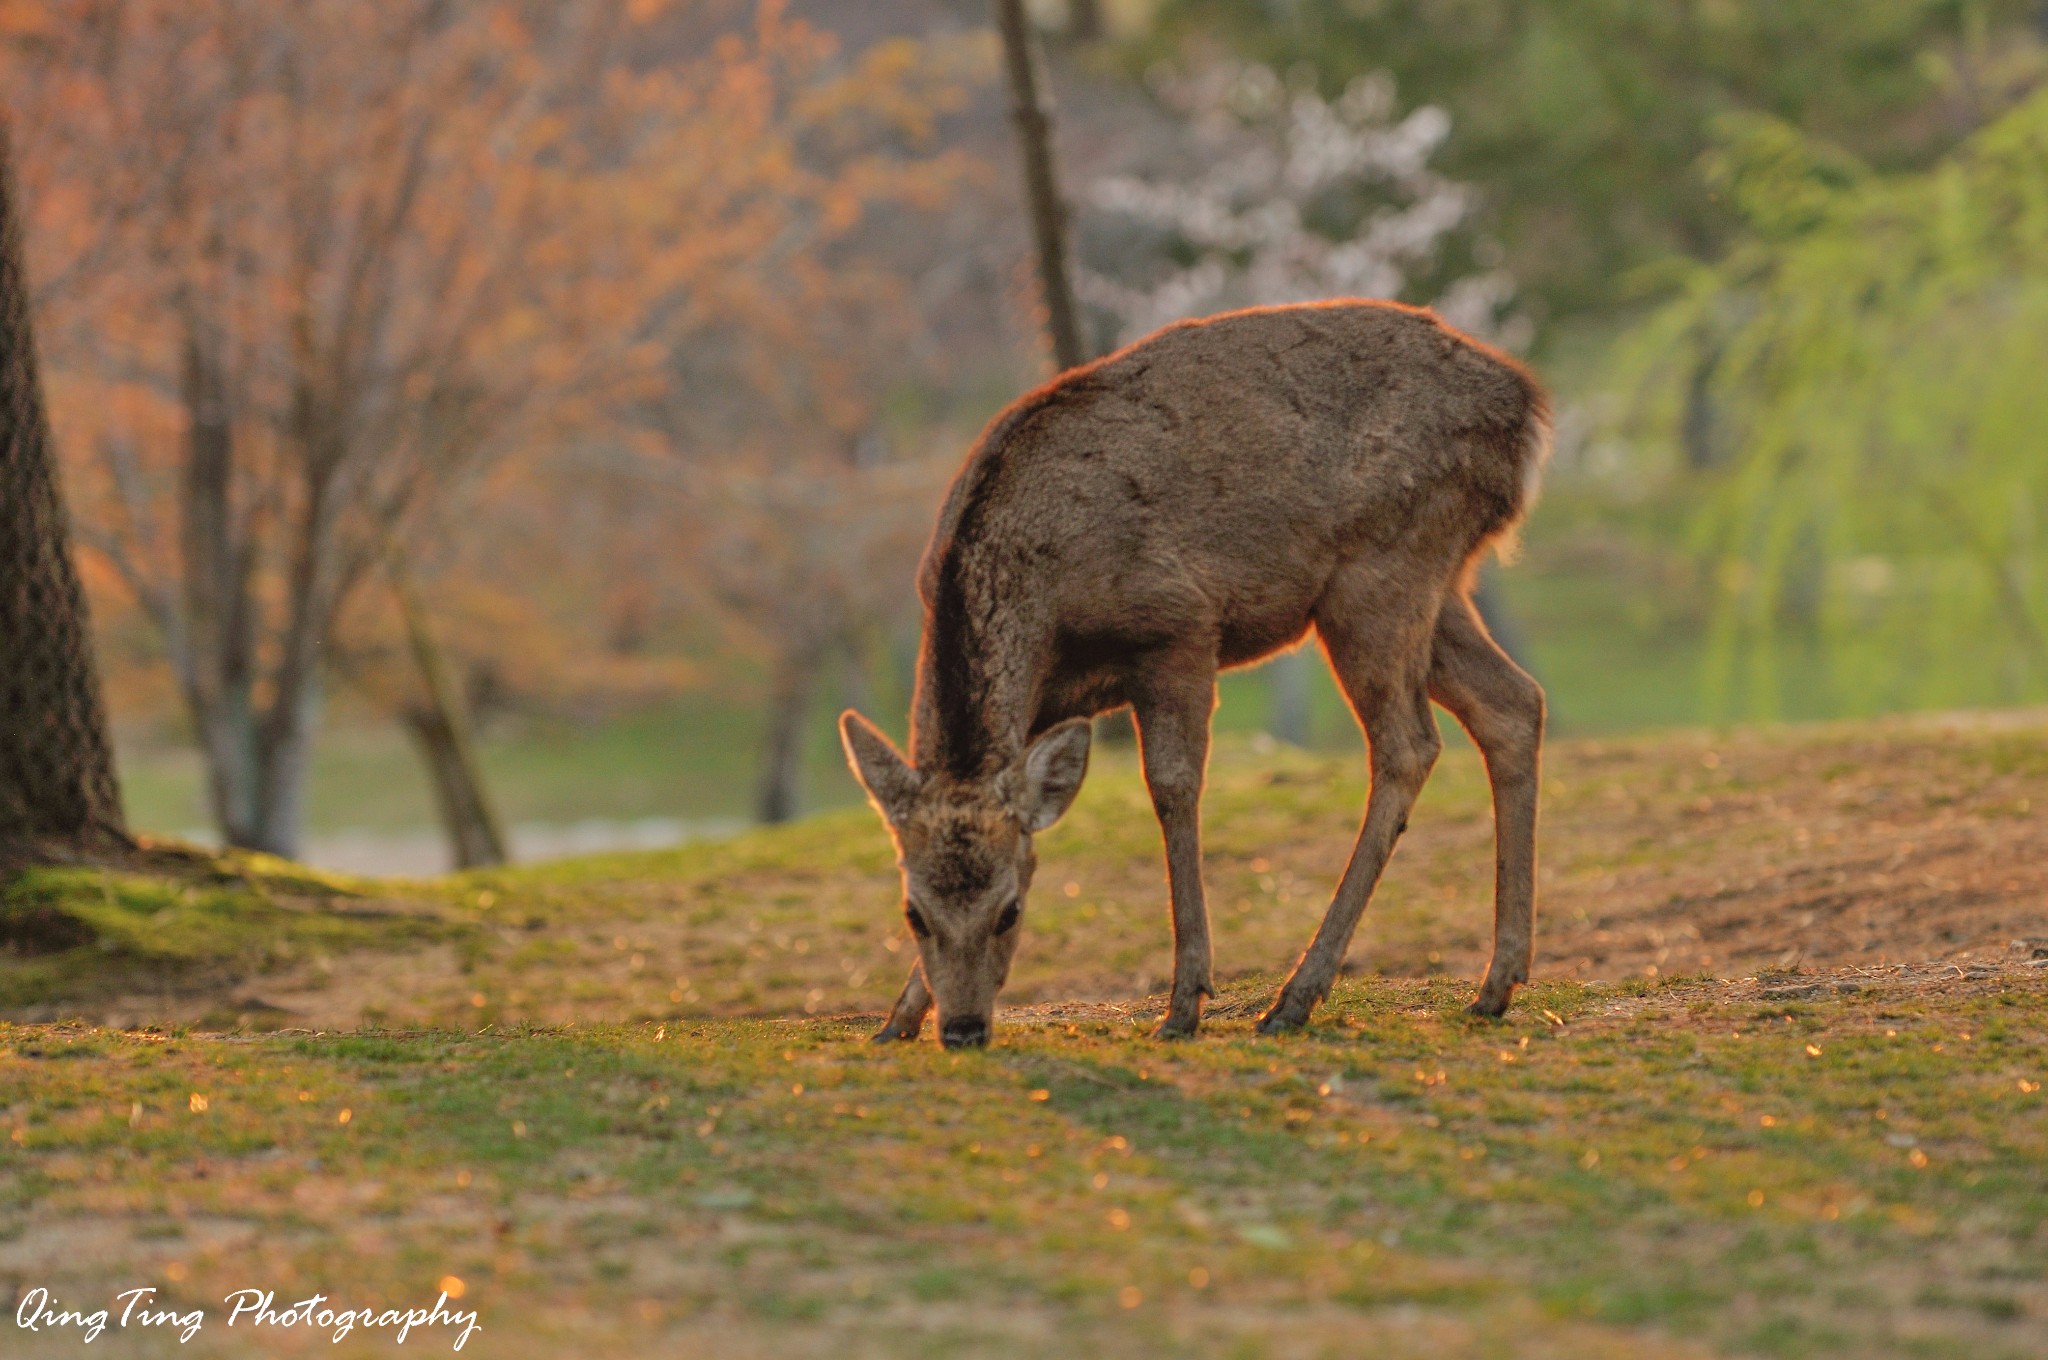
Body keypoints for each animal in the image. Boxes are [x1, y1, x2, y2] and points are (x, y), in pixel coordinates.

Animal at [839, 296, 1540, 1044]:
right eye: (913, 912)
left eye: (1010, 911)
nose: (965, 1028)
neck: (1045, 599)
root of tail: (1528, 410)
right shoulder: (1051, 699)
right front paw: (896, 1019)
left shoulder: (1177, 626)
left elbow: (1174, 788)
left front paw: (1185, 1000)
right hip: (1435, 584)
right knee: (1513, 703)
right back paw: (1497, 981)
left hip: (1382, 567)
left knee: (1409, 744)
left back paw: (1296, 995)